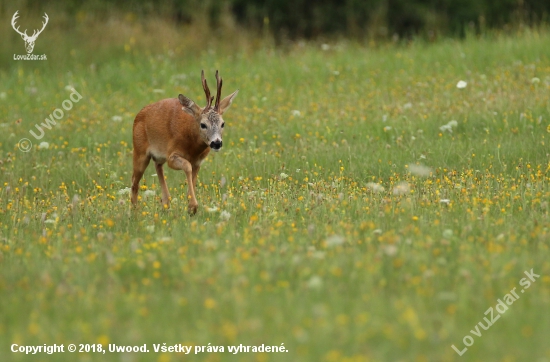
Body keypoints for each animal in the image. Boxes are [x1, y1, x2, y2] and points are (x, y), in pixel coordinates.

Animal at [133, 69, 239, 214]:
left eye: (222, 124)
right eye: (203, 124)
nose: (216, 143)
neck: (192, 147)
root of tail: (138, 115)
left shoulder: (198, 162)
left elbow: (193, 180)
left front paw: (190, 207)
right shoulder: (172, 155)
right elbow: (187, 167)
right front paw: (192, 206)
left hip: (157, 155)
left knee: (157, 167)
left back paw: (165, 203)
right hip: (139, 151)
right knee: (134, 182)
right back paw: (134, 212)